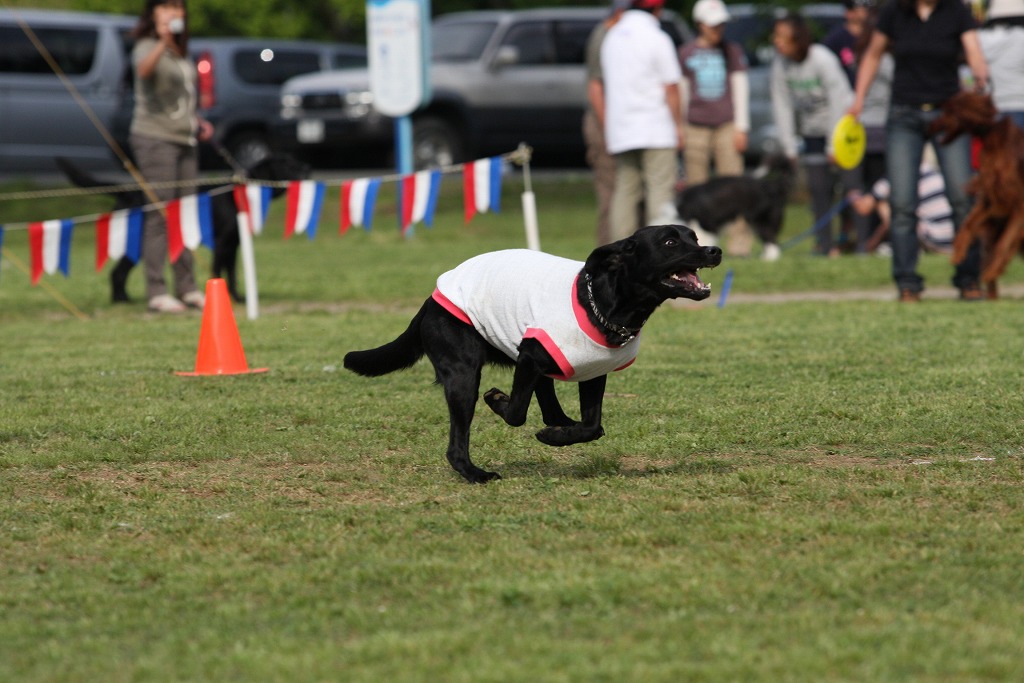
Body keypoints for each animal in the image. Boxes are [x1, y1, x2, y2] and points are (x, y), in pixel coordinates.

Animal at [58, 156, 305, 305]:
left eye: (295, 161)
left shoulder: (233, 244)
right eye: (288, 164)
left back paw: (123, 299)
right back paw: (123, 300)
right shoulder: (221, 243)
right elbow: (219, 271)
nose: (307, 169)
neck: (241, 193)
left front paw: (237, 297)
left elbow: (232, 274)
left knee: (118, 273)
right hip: (138, 241)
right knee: (118, 272)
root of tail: (129, 190)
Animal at [344, 223, 720, 481]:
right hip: (465, 375)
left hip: (537, 370)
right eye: (670, 242)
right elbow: (516, 415)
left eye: (695, 238)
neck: (605, 304)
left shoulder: (592, 372)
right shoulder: (529, 356)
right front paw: (500, 402)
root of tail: (432, 299)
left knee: (553, 411)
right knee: (457, 443)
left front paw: (557, 437)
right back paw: (476, 474)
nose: (714, 250)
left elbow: (593, 426)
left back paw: (557, 429)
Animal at [929, 92, 1024, 299]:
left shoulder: (1018, 205)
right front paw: (957, 252)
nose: (928, 126)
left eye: (947, 111)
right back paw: (992, 296)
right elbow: (968, 224)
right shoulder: (991, 200)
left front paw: (992, 271)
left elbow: (1004, 245)